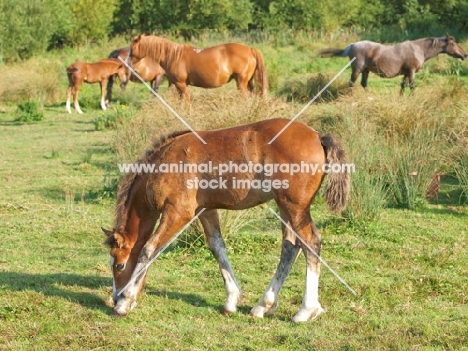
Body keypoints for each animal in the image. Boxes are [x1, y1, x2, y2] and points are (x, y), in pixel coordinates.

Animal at [103, 119, 352, 324]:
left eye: (120, 265)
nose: (114, 298)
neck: (165, 162)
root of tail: (318, 136)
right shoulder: (205, 210)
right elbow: (217, 247)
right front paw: (231, 300)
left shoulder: (178, 213)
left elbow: (149, 249)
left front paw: (125, 302)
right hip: (284, 207)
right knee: (290, 246)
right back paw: (263, 306)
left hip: (294, 207)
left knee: (311, 242)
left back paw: (306, 311)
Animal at [130, 33, 268, 99]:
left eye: (132, 49)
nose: (133, 68)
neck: (174, 56)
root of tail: (250, 49)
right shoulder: (180, 86)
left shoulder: (181, 84)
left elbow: (187, 100)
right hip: (248, 81)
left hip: (241, 82)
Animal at [320, 34, 466, 94]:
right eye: (453, 43)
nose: (465, 55)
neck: (419, 49)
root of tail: (352, 45)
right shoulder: (412, 72)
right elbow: (412, 86)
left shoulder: (407, 73)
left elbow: (403, 86)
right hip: (357, 69)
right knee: (352, 83)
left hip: (366, 70)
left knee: (363, 83)